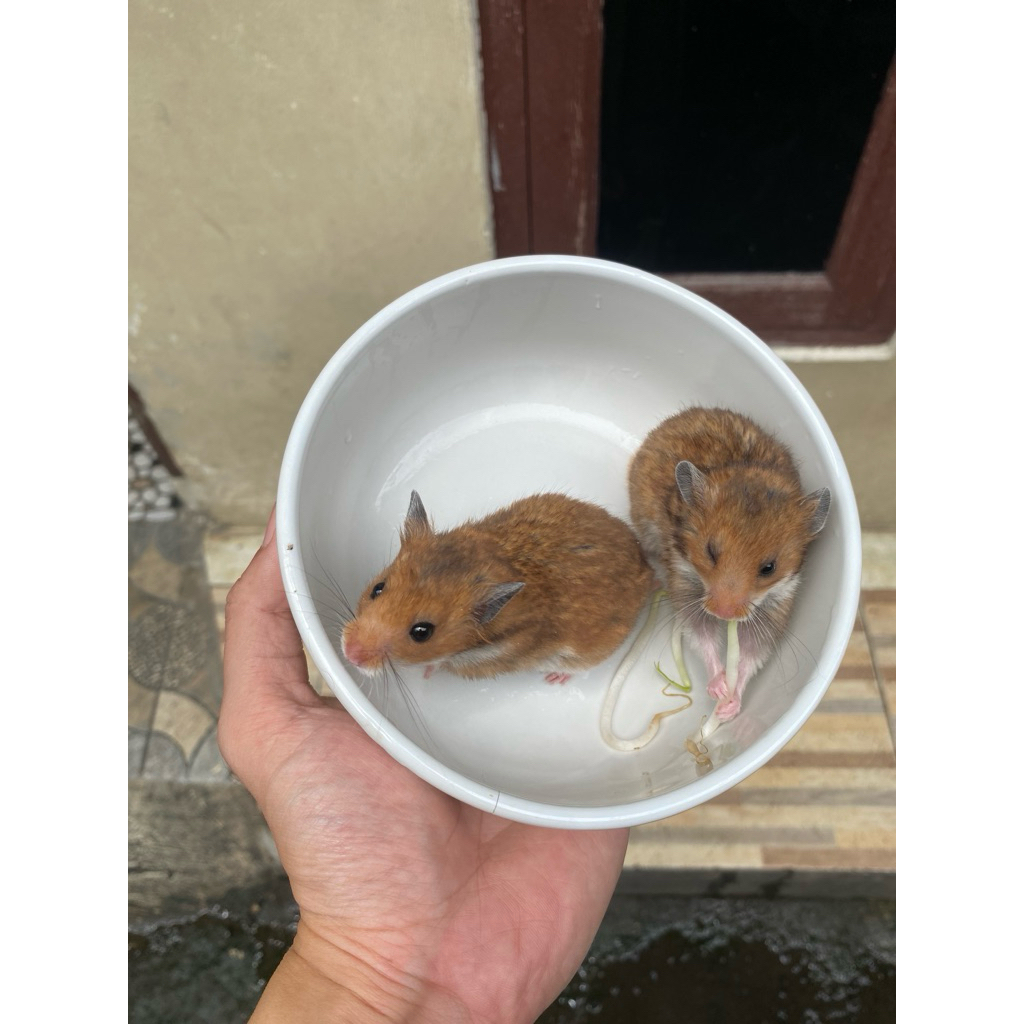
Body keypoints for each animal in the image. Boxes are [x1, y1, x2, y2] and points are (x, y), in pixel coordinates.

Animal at [341, 491, 654, 681]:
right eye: (377, 588)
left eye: (422, 632)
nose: (349, 653)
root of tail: (646, 564)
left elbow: (438, 663)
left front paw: (427, 672)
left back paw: (555, 678)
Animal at [628, 407, 831, 721]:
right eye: (710, 552)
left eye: (769, 568)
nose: (724, 614)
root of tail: (686, 413)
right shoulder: (685, 585)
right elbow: (703, 637)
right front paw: (719, 688)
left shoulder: (775, 606)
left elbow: (749, 654)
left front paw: (728, 708)